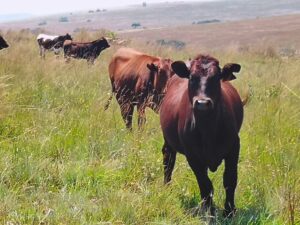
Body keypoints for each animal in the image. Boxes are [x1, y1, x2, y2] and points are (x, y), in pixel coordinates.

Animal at [161, 53, 243, 217]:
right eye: (192, 78)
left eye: (217, 77)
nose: (202, 103)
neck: (208, 129)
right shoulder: (192, 155)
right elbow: (205, 184)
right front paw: (209, 211)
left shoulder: (234, 147)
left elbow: (230, 180)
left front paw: (229, 211)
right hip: (168, 141)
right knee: (168, 161)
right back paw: (167, 186)